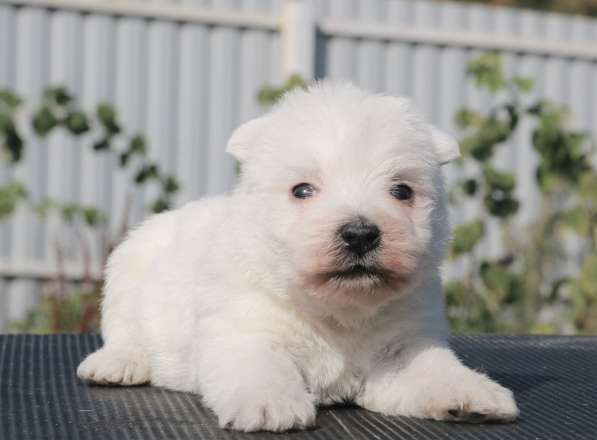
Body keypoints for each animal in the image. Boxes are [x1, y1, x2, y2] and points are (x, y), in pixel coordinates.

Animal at [78, 81, 516, 430]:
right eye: (302, 190)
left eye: (402, 191)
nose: (360, 234)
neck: (337, 312)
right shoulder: (242, 324)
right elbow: (259, 361)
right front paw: (269, 403)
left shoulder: (404, 345)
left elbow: (432, 367)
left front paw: (471, 392)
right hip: (126, 274)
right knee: (123, 330)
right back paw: (117, 363)